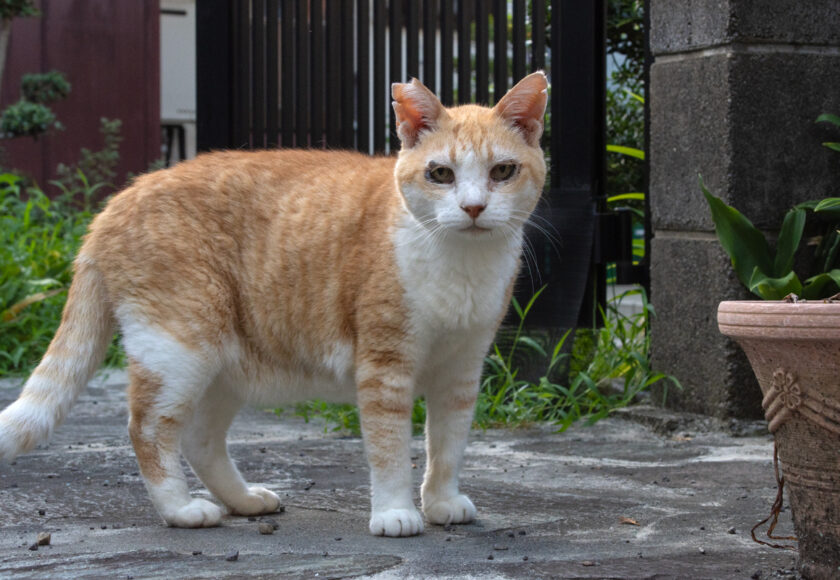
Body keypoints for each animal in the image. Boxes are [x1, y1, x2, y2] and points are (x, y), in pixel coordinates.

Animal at [0, 71, 548, 536]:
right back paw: (181, 510)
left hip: (222, 362)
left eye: (502, 171)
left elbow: (447, 445)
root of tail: (117, 200)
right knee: (148, 429)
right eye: (440, 174)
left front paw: (440, 502)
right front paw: (396, 512)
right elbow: (391, 448)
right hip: (180, 348)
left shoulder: (461, 370)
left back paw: (243, 501)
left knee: (199, 438)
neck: (462, 266)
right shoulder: (385, 366)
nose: (473, 208)